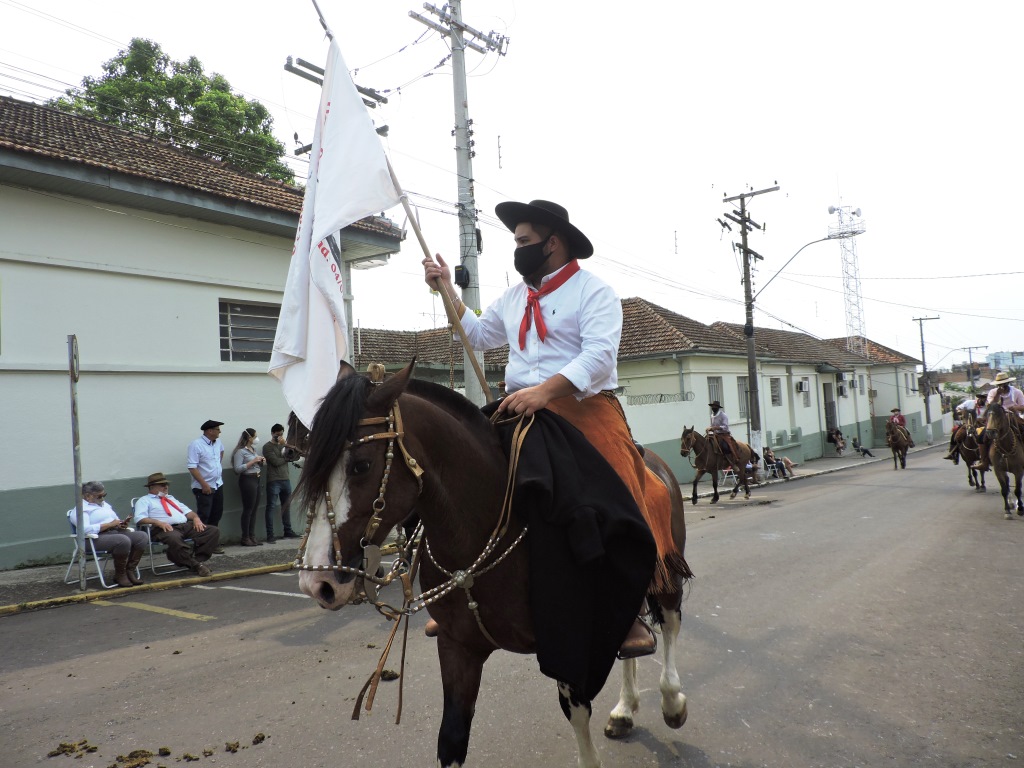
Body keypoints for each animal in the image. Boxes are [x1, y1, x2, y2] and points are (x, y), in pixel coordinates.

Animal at [296, 362, 696, 768]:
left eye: (361, 465)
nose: (318, 584)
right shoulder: (458, 647)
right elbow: (452, 738)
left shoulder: (570, 640)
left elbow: (579, 718)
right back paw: (624, 709)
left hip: (666, 574)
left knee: (671, 625)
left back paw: (672, 702)